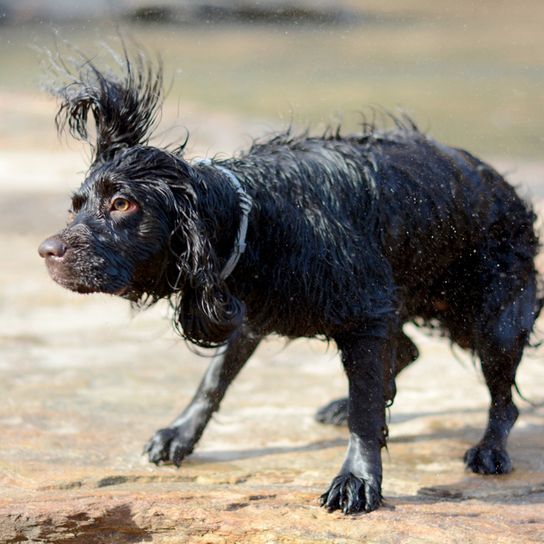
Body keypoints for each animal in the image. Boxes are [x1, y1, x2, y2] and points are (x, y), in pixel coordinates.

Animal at [38, 52, 540, 516]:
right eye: (75, 207)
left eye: (123, 204)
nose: (46, 251)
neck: (260, 222)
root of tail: (504, 186)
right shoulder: (248, 312)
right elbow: (213, 381)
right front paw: (180, 434)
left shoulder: (365, 311)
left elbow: (365, 410)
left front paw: (357, 479)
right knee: (408, 351)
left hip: (492, 318)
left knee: (502, 398)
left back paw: (490, 450)